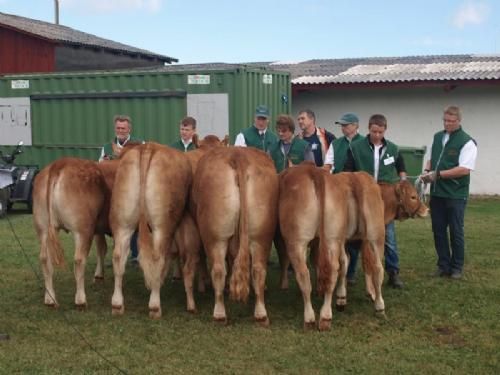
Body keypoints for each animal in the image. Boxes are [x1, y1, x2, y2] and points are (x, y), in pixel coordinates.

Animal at [109, 142, 191, 318]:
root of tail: (147, 148)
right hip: (162, 226)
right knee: (157, 257)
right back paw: (155, 305)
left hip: (123, 223)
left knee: (119, 257)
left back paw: (117, 304)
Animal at [190, 147, 278, 326]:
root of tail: (238, 155)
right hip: (262, 234)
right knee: (258, 269)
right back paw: (261, 314)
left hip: (215, 237)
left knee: (218, 269)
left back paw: (219, 314)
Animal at [280, 166, 384, 330]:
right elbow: (343, 263)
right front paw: (340, 297)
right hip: (371, 235)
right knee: (375, 268)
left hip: (297, 241)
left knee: (304, 274)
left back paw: (310, 318)